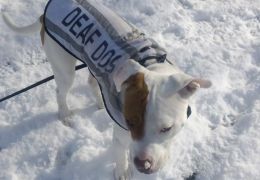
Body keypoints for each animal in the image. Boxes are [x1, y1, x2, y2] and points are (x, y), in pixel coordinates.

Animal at [2, 0, 211, 179]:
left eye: (166, 128)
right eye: (129, 122)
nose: (142, 164)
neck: (151, 64)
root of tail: (44, 14)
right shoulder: (120, 136)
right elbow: (120, 156)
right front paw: (122, 172)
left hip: (91, 66)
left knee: (91, 82)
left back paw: (100, 103)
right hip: (64, 67)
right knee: (60, 92)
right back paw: (65, 114)